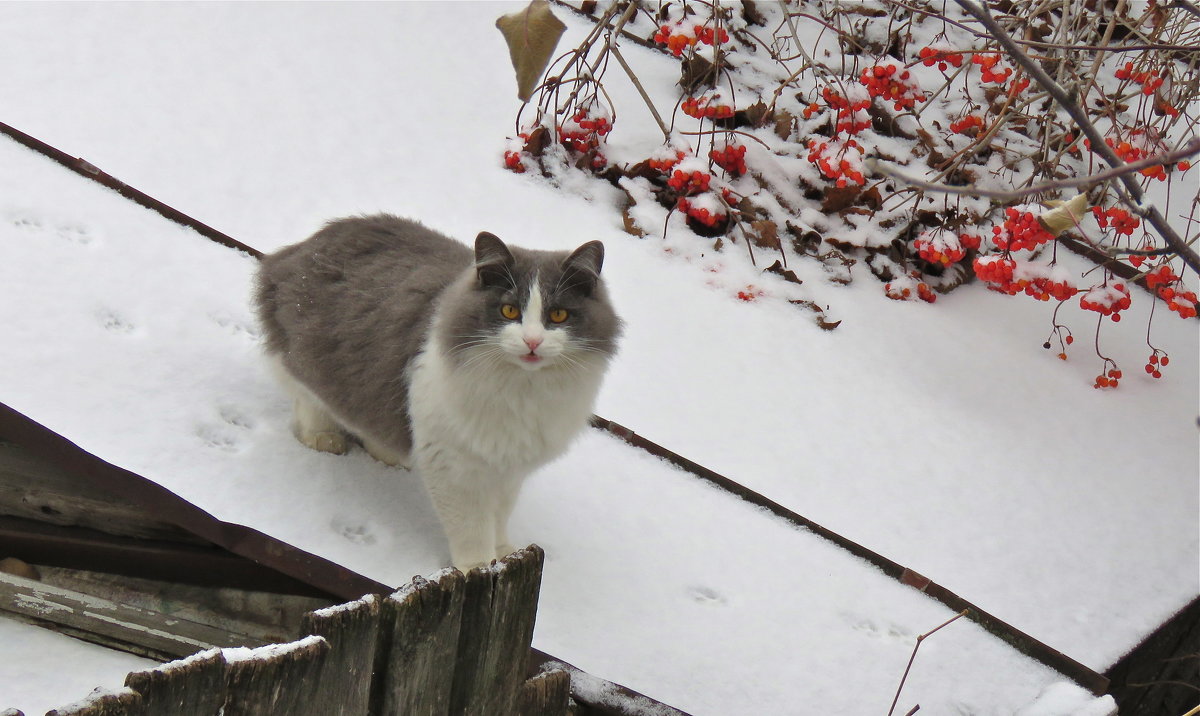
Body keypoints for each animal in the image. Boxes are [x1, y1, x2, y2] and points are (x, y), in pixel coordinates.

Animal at [256, 214, 624, 573]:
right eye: (509, 311)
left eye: (558, 315)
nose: (532, 341)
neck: (523, 391)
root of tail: (302, 247)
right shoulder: (453, 463)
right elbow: (471, 526)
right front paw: (478, 566)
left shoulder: (509, 469)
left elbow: (499, 518)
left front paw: (504, 554)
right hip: (308, 360)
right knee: (309, 401)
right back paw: (324, 438)